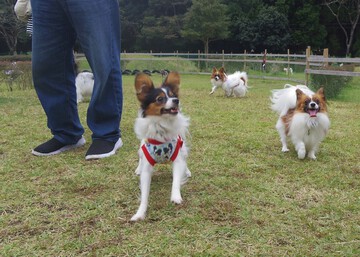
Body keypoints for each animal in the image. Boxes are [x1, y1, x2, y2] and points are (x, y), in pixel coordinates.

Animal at [130, 71, 191, 221]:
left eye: (174, 95)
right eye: (160, 99)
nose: (176, 100)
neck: (162, 127)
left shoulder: (178, 158)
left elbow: (176, 180)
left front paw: (176, 197)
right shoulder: (147, 167)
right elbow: (144, 194)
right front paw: (140, 213)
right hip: (141, 149)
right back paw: (138, 169)